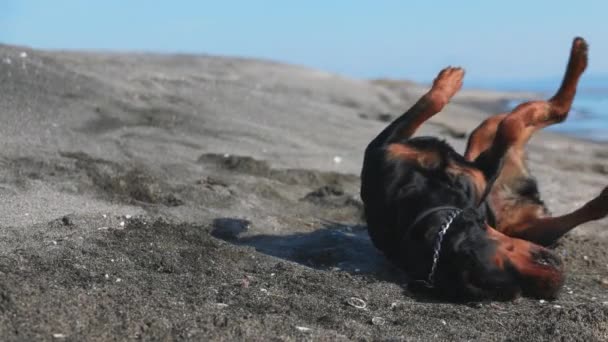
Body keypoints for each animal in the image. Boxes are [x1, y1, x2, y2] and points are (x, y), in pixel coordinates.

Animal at [360, 36, 608, 300]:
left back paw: (577, 55)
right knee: (552, 116)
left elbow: (432, 103)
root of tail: (518, 199)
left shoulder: (384, 148)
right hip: (534, 227)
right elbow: (509, 128)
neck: (425, 197)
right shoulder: (486, 174)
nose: (555, 288)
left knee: (514, 117)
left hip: (481, 142)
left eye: (507, 256)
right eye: (513, 291)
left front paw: (448, 81)